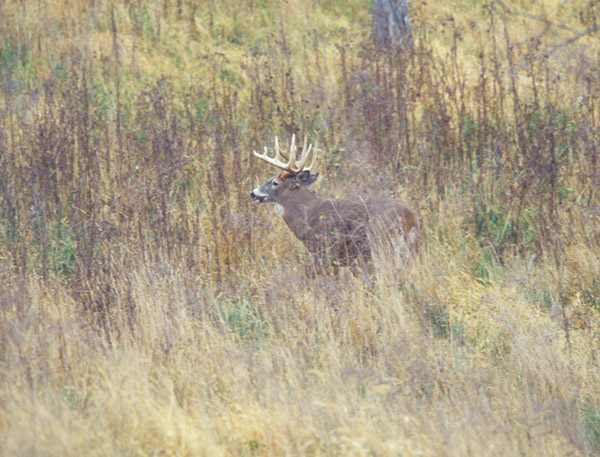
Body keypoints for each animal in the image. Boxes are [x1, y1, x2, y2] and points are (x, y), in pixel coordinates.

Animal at [251, 135, 420, 270]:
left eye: (275, 183)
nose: (252, 192)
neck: (306, 216)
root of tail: (409, 216)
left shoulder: (325, 251)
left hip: (382, 244)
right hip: (409, 248)